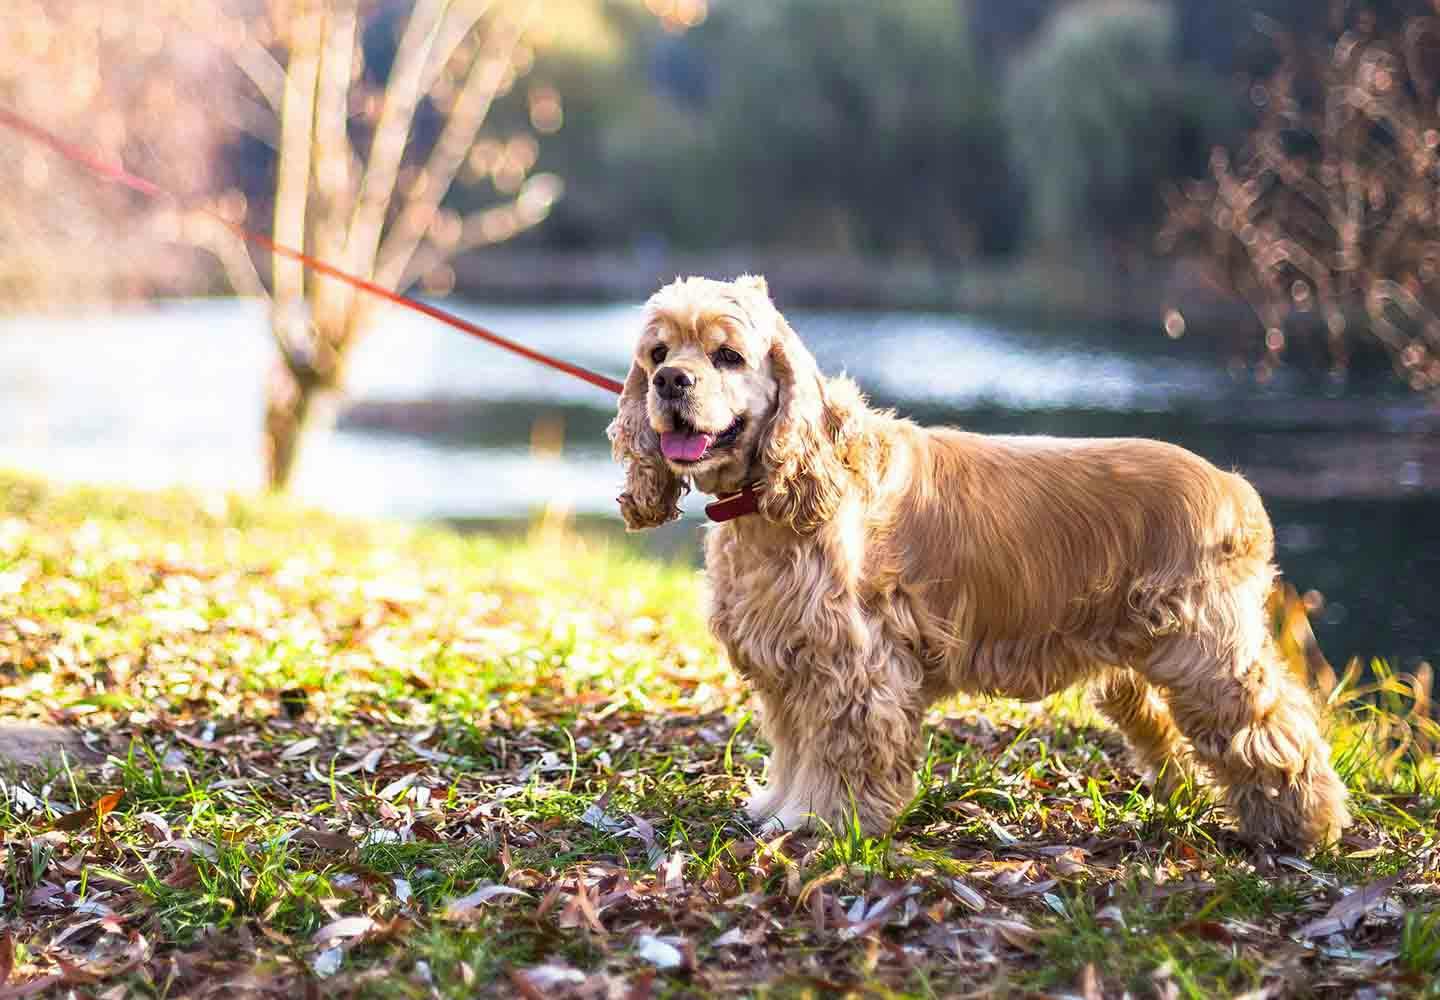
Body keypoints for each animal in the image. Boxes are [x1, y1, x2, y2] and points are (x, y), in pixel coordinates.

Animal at [604, 276, 1347, 853]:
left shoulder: (854, 667)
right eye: (658, 352)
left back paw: (1307, 829)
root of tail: (1235, 489)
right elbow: (793, 748)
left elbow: (841, 756)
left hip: (1206, 654)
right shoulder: (787, 663)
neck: (773, 499)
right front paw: (779, 808)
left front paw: (824, 822)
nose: (670, 381)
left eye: (728, 355)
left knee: (1276, 732)